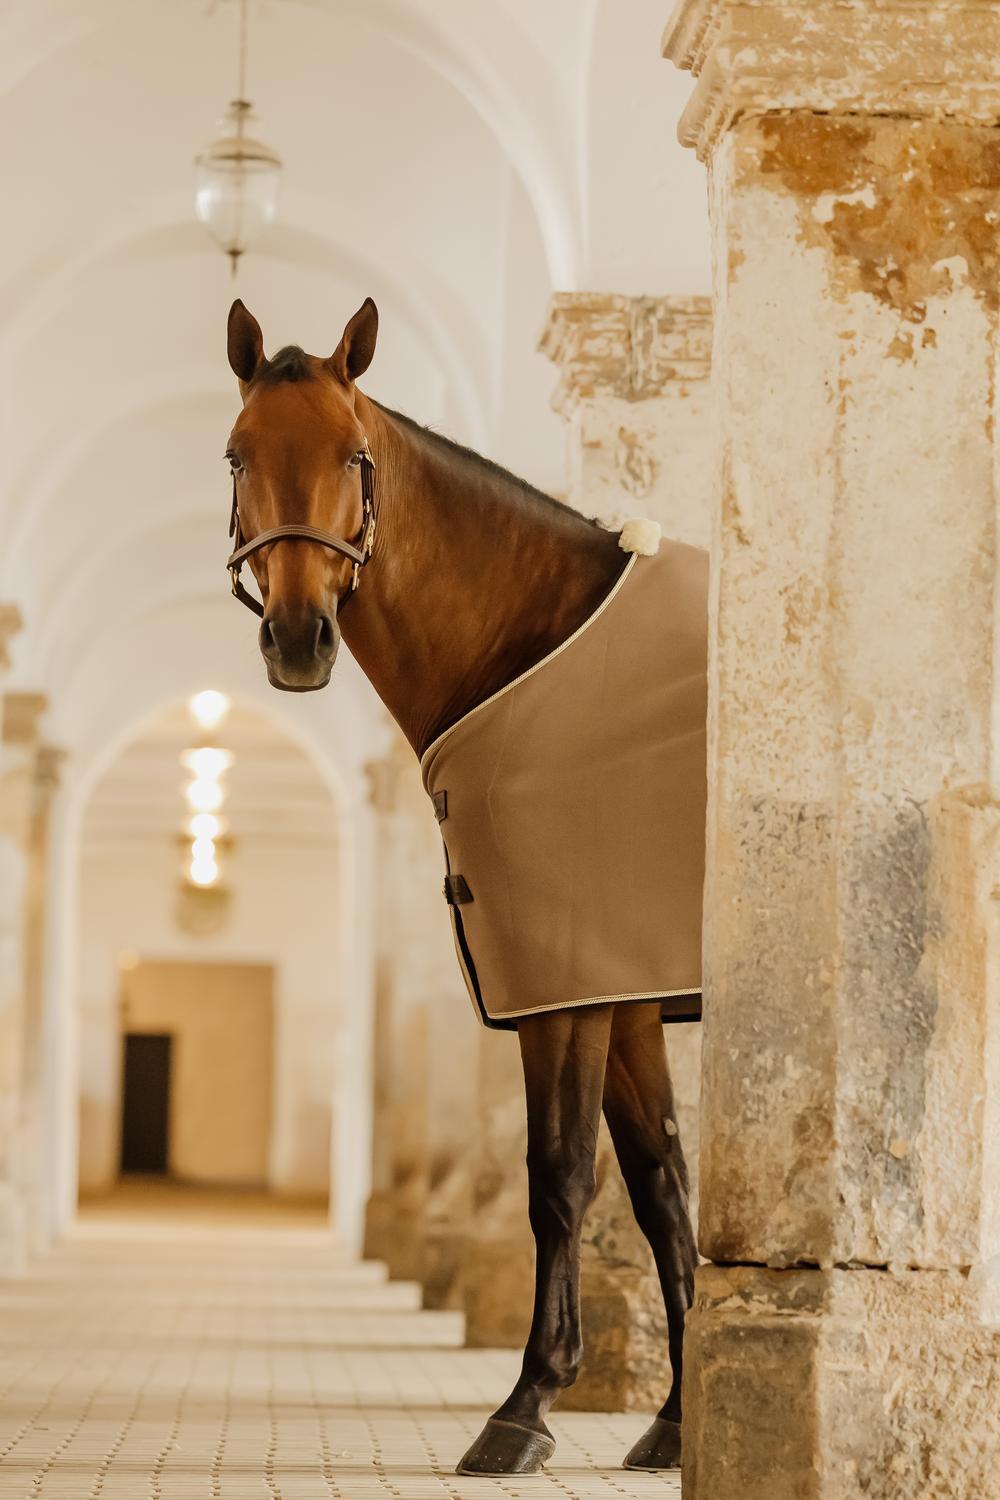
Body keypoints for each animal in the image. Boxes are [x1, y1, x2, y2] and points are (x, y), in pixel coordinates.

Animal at [221, 296, 700, 1476]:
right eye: (239, 455)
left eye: (355, 455)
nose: (297, 640)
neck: (534, 649)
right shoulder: (625, 996)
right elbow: (659, 1182)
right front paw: (678, 1418)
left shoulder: (565, 988)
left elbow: (559, 1176)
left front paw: (526, 1404)